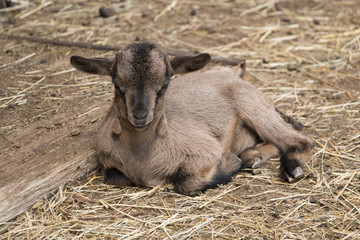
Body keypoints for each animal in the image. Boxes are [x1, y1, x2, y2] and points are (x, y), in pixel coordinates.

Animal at [70, 42, 312, 196]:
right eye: (116, 84)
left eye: (165, 84)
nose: (140, 115)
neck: (142, 157)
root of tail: (232, 74)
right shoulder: (107, 160)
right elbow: (114, 177)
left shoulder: (207, 149)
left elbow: (185, 182)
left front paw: (230, 164)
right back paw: (253, 158)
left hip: (249, 103)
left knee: (300, 140)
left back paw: (290, 169)